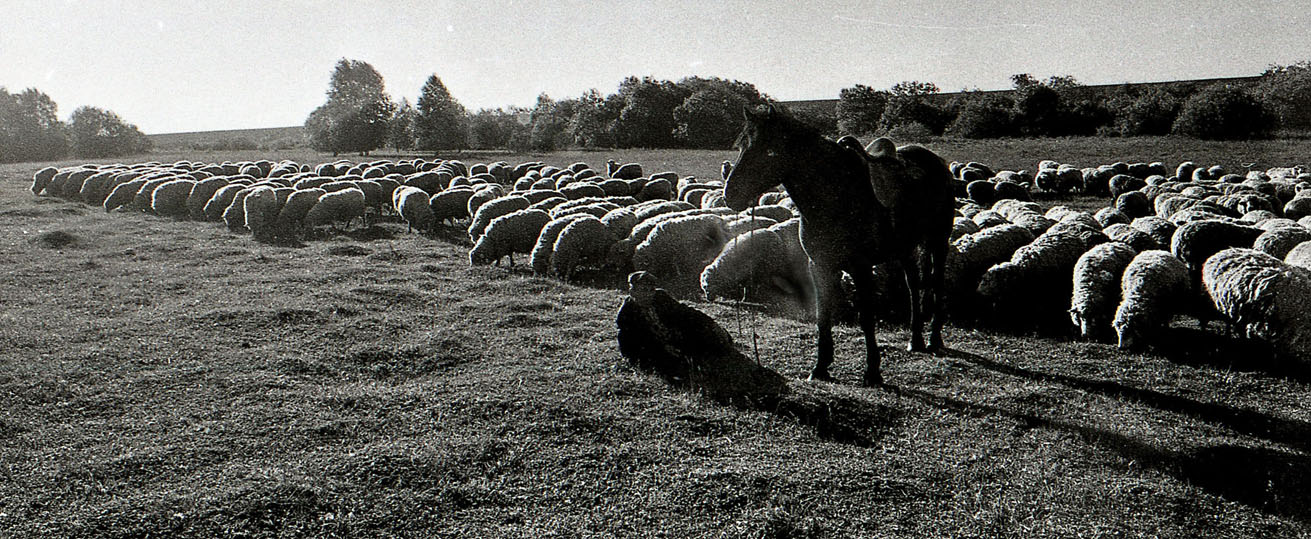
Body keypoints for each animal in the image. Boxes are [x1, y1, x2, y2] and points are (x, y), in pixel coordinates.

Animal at [728, 103, 954, 385]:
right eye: (741, 145)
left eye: (769, 150)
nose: (730, 194)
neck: (836, 197)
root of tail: (935, 162)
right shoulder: (820, 266)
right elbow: (823, 315)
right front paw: (820, 367)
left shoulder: (861, 268)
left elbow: (866, 317)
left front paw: (873, 372)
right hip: (905, 248)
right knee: (913, 285)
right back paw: (916, 340)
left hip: (938, 242)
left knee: (936, 284)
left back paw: (933, 339)